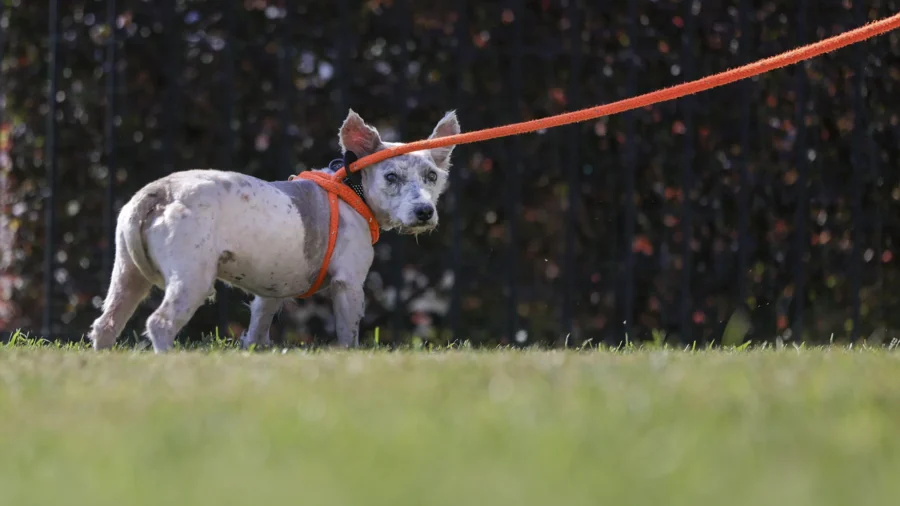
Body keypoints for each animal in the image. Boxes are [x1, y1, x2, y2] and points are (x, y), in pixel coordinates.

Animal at [88, 109, 460, 352]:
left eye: (432, 176)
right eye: (391, 177)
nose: (424, 212)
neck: (352, 190)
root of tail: (159, 192)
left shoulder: (270, 292)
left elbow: (257, 329)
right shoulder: (349, 284)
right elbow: (348, 334)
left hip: (126, 275)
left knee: (106, 324)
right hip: (191, 278)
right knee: (160, 322)